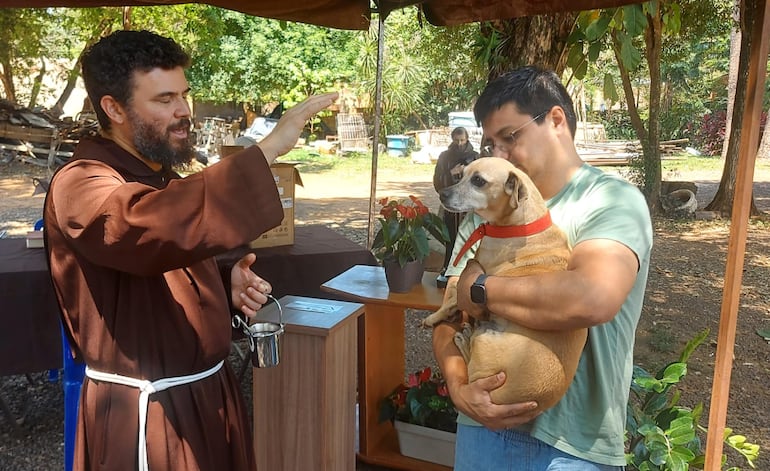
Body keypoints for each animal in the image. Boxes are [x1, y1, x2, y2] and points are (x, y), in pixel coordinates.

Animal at [424, 159, 584, 412]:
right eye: (461, 175)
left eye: (478, 180)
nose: (442, 194)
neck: (521, 224)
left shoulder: (472, 280)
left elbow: (452, 299)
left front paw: (433, 318)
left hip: (484, 340)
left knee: (472, 371)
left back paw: (465, 339)